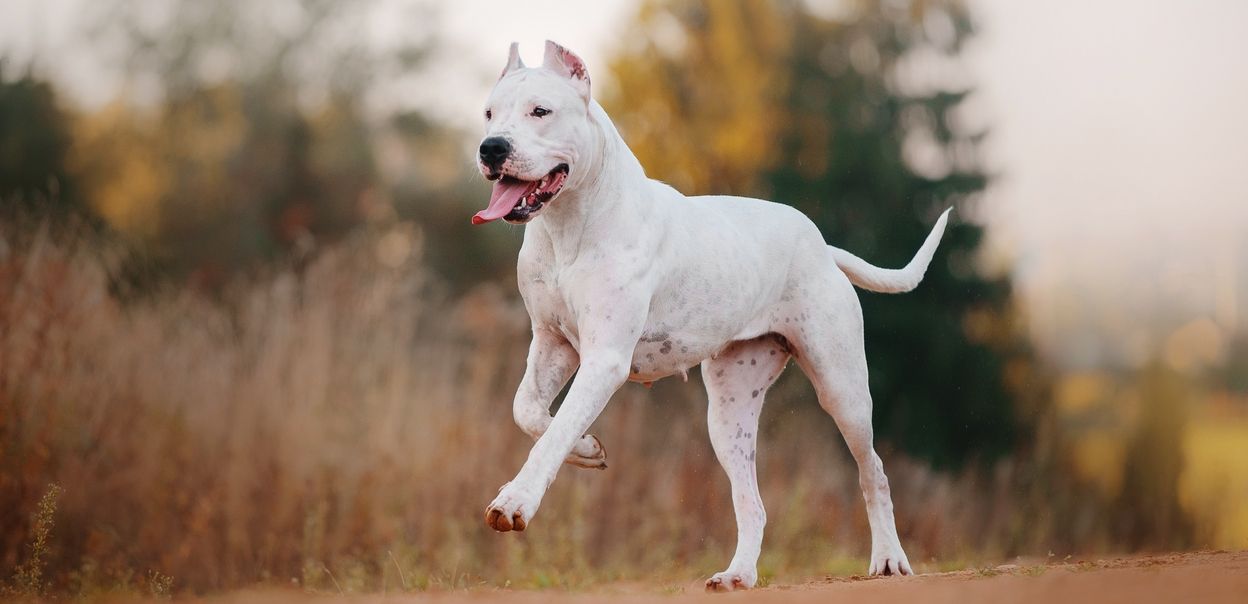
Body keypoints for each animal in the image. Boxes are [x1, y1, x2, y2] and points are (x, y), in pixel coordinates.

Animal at [474, 40, 943, 591]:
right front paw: (588, 449)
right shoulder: (553, 343)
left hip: (842, 388)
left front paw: (515, 501)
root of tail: (823, 246)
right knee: (752, 502)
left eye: (540, 111)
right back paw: (738, 574)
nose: (491, 148)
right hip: (728, 412)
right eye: (489, 114)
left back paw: (889, 558)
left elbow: (553, 431)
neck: (569, 224)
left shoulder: (604, 359)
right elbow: (530, 412)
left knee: (874, 472)